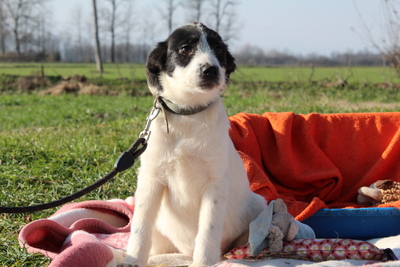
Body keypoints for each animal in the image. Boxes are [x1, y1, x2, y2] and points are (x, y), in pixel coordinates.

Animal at [119, 22, 268, 267]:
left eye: (218, 50)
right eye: (185, 48)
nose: (211, 70)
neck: (189, 115)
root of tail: (185, 251)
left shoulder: (215, 184)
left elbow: (208, 231)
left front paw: (203, 262)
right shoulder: (151, 179)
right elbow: (140, 227)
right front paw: (132, 260)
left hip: (258, 205)